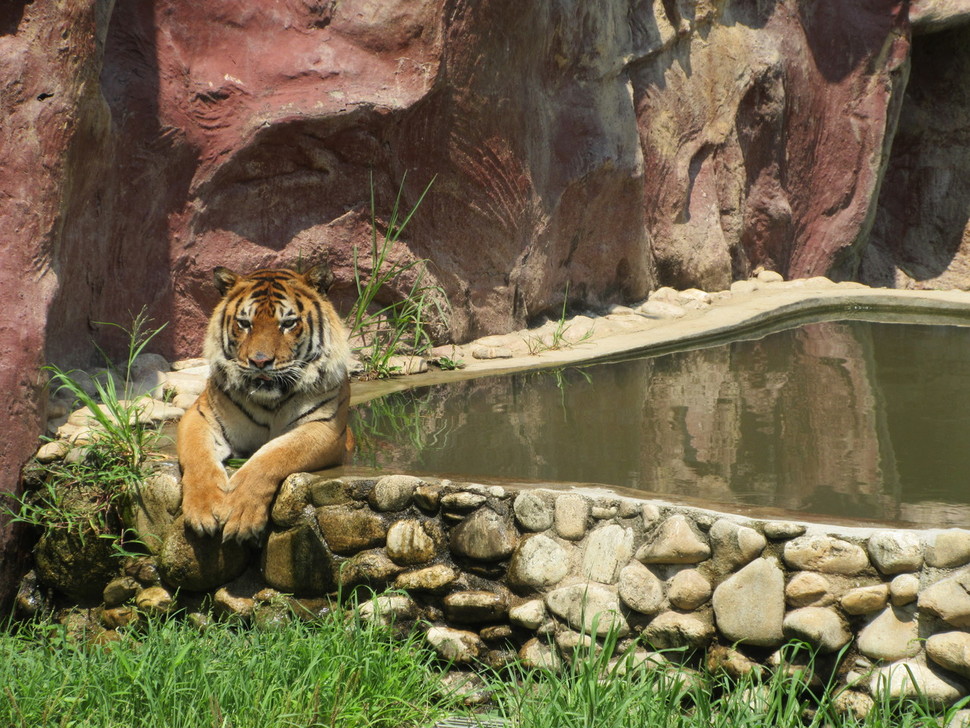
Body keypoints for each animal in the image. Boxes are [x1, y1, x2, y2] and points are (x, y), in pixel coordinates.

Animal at [178, 264, 352, 544]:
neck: (270, 401)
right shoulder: (200, 415)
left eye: (288, 323)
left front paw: (240, 513)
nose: (260, 361)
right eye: (244, 323)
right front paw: (204, 509)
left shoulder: (324, 427)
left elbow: (272, 456)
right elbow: (199, 457)